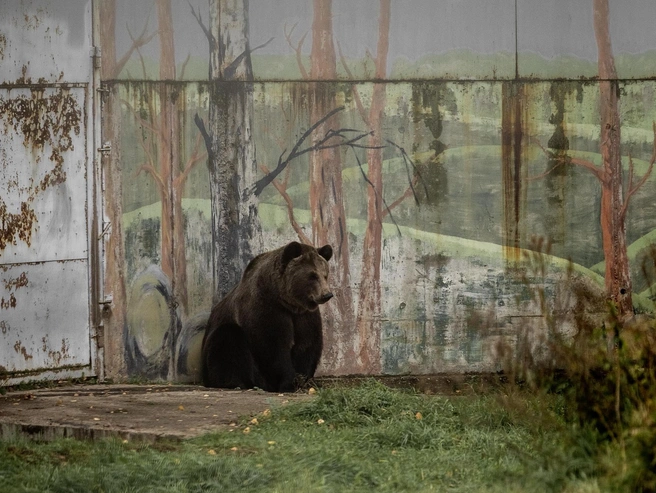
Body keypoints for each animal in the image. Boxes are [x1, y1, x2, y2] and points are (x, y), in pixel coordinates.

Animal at [201, 241, 334, 392]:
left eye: (325, 275)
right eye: (312, 276)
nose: (327, 294)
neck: (287, 302)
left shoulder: (304, 316)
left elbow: (307, 344)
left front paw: (303, 380)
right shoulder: (267, 308)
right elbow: (273, 346)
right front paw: (288, 381)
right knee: (228, 339)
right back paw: (236, 382)